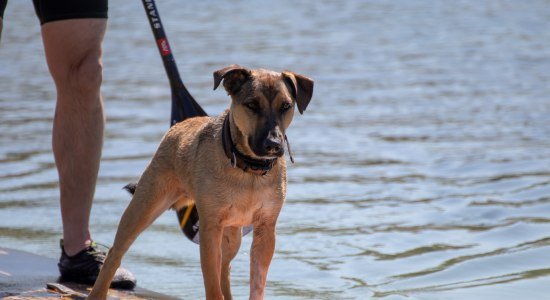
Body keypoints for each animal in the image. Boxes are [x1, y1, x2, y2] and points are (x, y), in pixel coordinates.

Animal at [88, 64, 312, 298]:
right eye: (252, 104)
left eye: (286, 106)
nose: (273, 144)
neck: (248, 169)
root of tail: (179, 125)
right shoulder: (209, 228)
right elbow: (212, 283)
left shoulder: (265, 230)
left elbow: (256, 283)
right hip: (144, 206)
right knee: (115, 252)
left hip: (232, 234)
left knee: (225, 267)